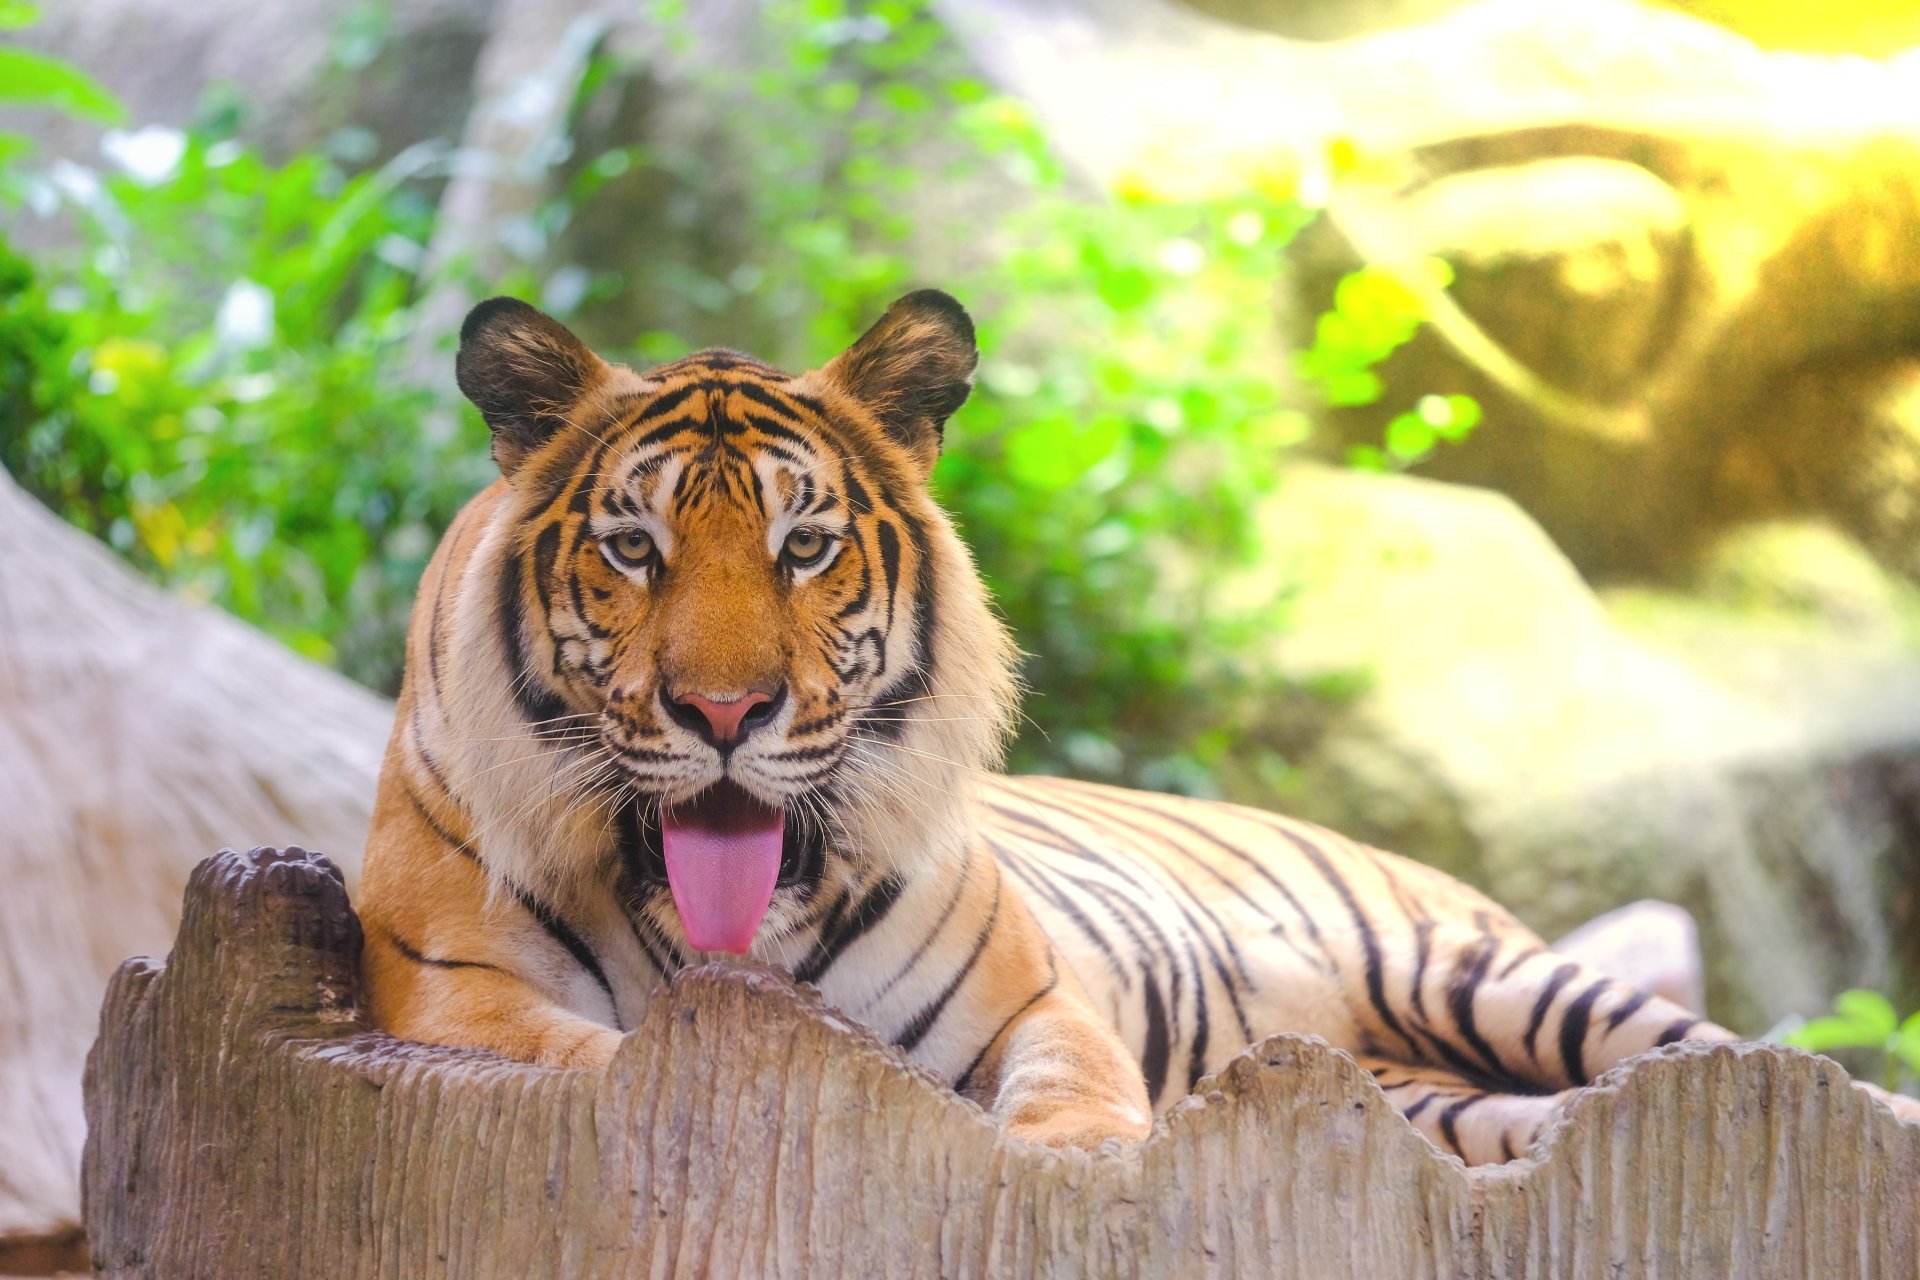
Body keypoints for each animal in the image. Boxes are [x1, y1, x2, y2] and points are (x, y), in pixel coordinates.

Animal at [356, 290, 1920, 1162]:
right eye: (635, 549)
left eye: (806, 547)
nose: (729, 711)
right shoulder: (458, 1005)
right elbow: (607, 1058)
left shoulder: (1034, 1002)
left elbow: (1071, 1099)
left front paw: (1084, 1164)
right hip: (1427, 1087)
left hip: (1491, 975)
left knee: (1746, 1063)